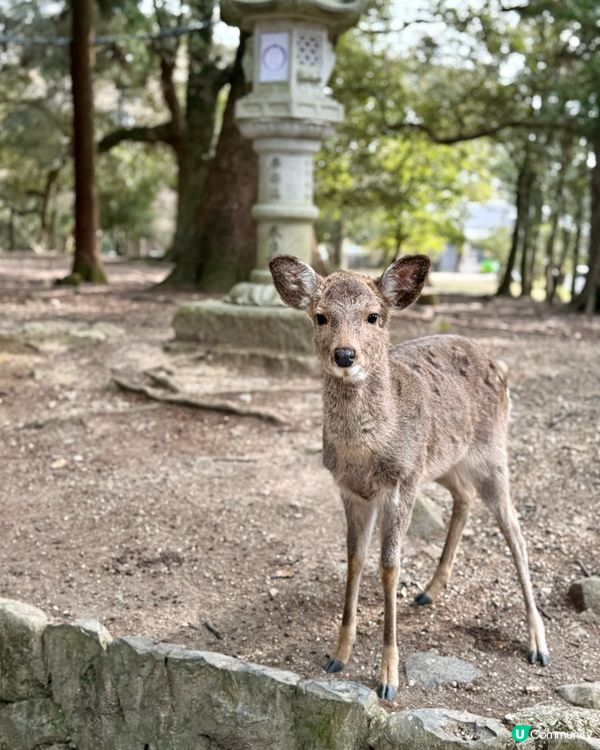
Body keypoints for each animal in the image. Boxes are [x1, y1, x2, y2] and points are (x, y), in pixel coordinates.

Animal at [269, 253, 549, 701]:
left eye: (374, 316)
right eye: (320, 316)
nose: (345, 355)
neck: (365, 454)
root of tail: (496, 364)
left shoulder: (400, 483)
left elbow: (389, 566)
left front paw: (388, 678)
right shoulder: (350, 490)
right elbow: (354, 559)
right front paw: (336, 655)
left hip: (491, 453)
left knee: (515, 528)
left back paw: (538, 643)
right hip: (443, 463)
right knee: (464, 497)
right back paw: (429, 592)